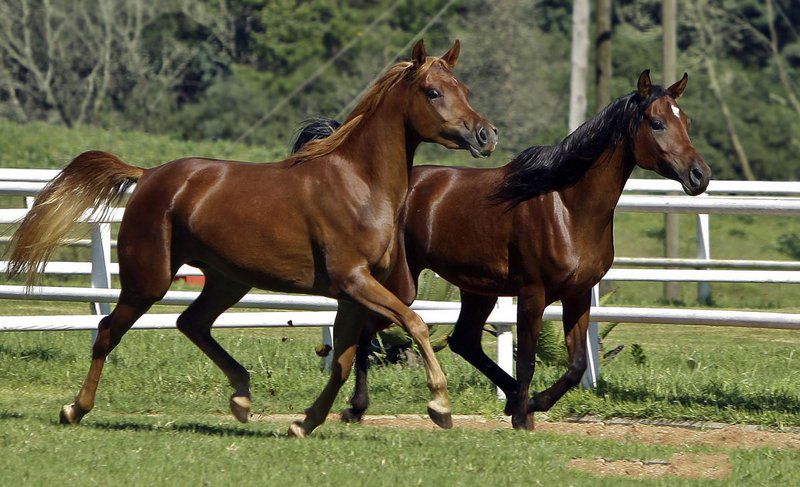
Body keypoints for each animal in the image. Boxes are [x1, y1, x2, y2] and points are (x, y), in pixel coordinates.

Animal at [4, 40, 494, 438]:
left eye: (466, 88)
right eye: (433, 92)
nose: (486, 135)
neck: (358, 183)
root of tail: (149, 175)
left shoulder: (353, 294)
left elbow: (343, 359)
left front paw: (305, 422)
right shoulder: (354, 282)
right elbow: (413, 323)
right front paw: (440, 405)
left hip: (227, 280)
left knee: (192, 323)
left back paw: (241, 396)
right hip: (149, 280)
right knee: (108, 330)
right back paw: (74, 409)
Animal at [296, 69, 708, 430]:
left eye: (686, 120)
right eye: (656, 123)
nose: (700, 175)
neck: (568, 206)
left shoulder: (577, 295)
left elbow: (576, 365)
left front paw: (532, 404)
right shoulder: (533, 294)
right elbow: (526, 359)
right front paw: (525, 416)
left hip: (477, 290)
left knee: (462, 340)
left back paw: (506, 398)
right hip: (404, 283)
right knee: (371, 331)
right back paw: (356, 408)